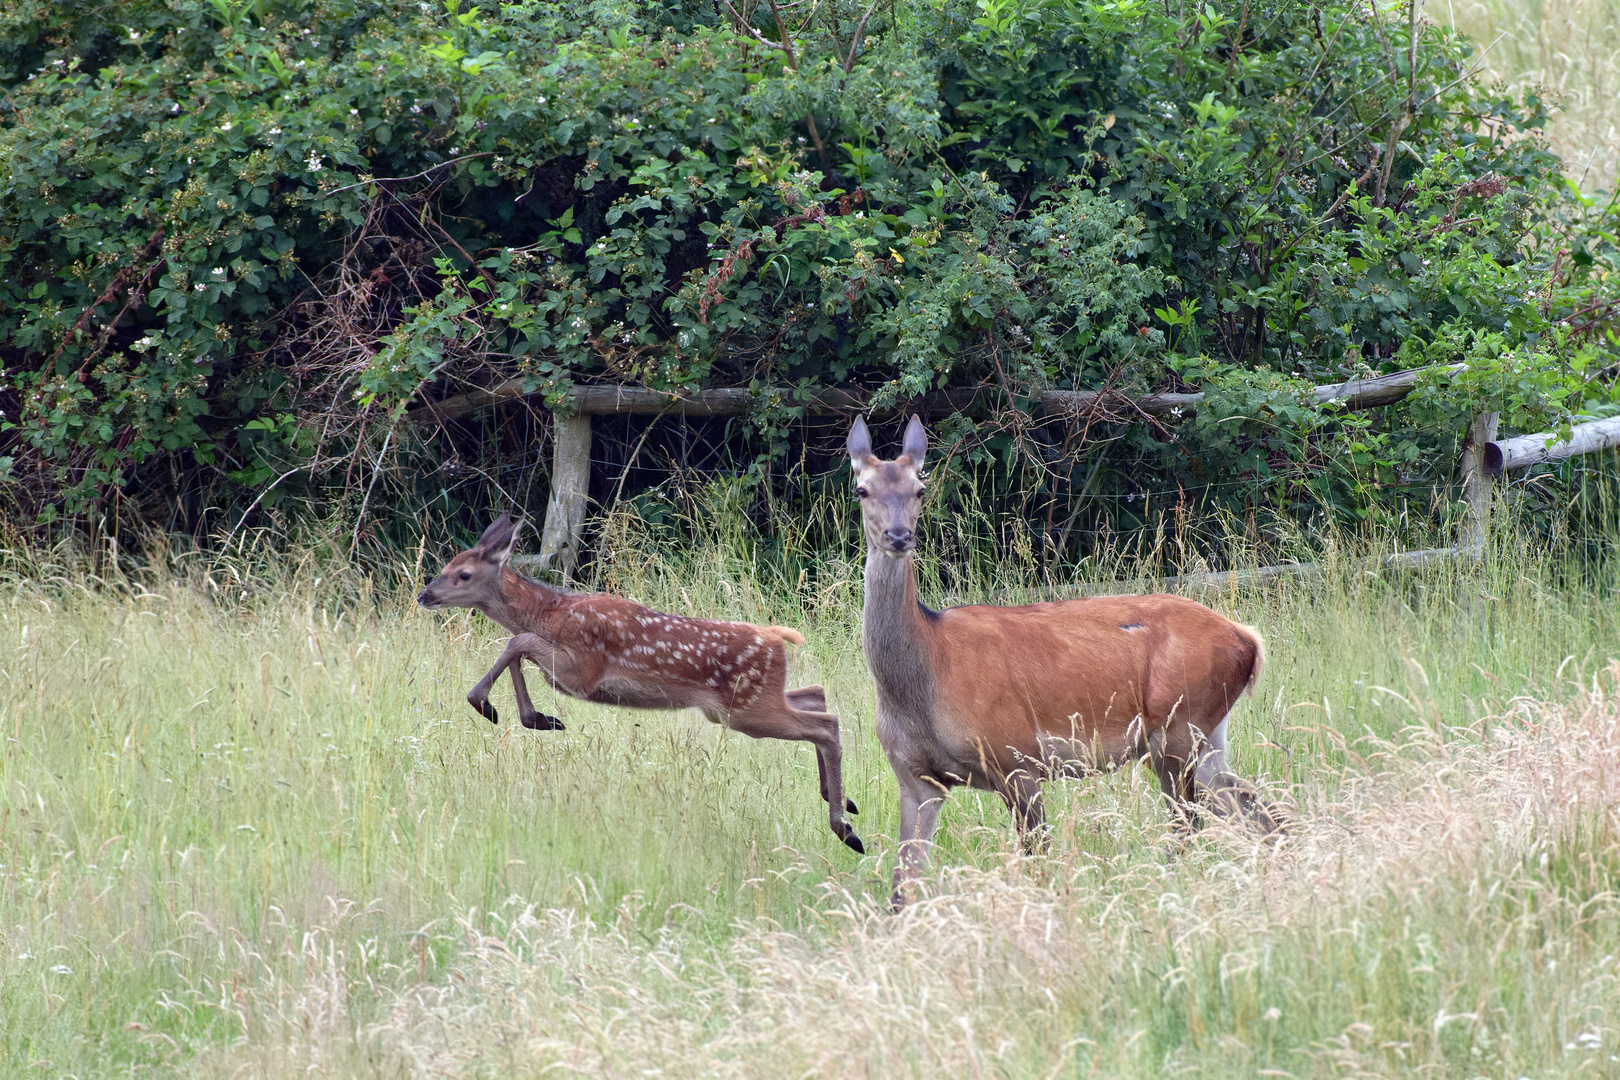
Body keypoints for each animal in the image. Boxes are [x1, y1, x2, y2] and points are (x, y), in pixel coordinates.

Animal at [424, 514, 868, 854]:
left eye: (463, 574)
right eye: (445, 566)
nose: (425, 595)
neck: (550, 612)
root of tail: (777, 637)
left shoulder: (582, 669)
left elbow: (516, 642)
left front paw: (489, 704)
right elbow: (516, 648)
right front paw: (534, 717)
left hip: (746, 709)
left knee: (826, 724)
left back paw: (846, 830)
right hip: (749, 703)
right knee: (816, 695)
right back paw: (843, 800)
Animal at [848, 414, 1276, 906]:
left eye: (920, 488)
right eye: (862, 489)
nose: (899, 536)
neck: (926, 673)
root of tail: (1248, 640)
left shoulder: (1016, 755)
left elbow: (1039, 858)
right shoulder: (915, 778)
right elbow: (903, 884)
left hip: (1179, 725)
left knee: (1191, 820)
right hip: (1206, 735)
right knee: (1256, 810)